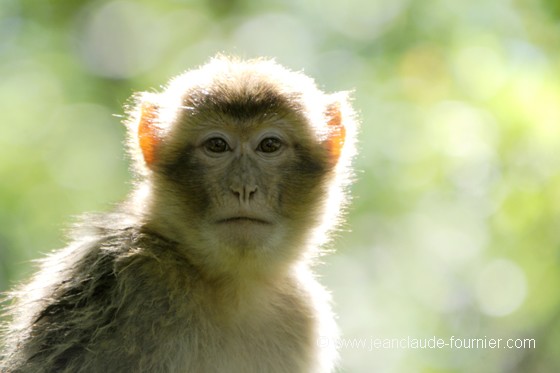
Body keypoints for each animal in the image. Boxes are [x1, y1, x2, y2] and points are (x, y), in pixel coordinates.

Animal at [0, 55, 356, 372]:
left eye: (269, 145)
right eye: (217, 145)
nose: (243, 188)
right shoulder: (132, 282)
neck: (228, 282)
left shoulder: (300, 311)